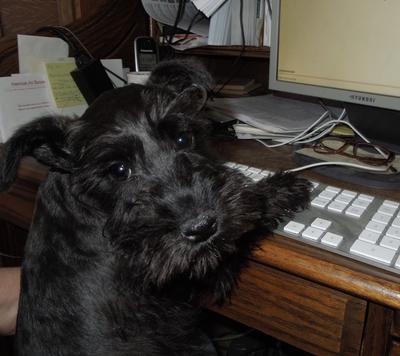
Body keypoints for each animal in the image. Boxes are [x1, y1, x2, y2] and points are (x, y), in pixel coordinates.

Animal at [0, 59, 310, 354]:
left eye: (184, 138)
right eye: (118, 170)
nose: (203, 228)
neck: (89, 210)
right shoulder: (194, 273)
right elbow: (247, 225)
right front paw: (280, 188)